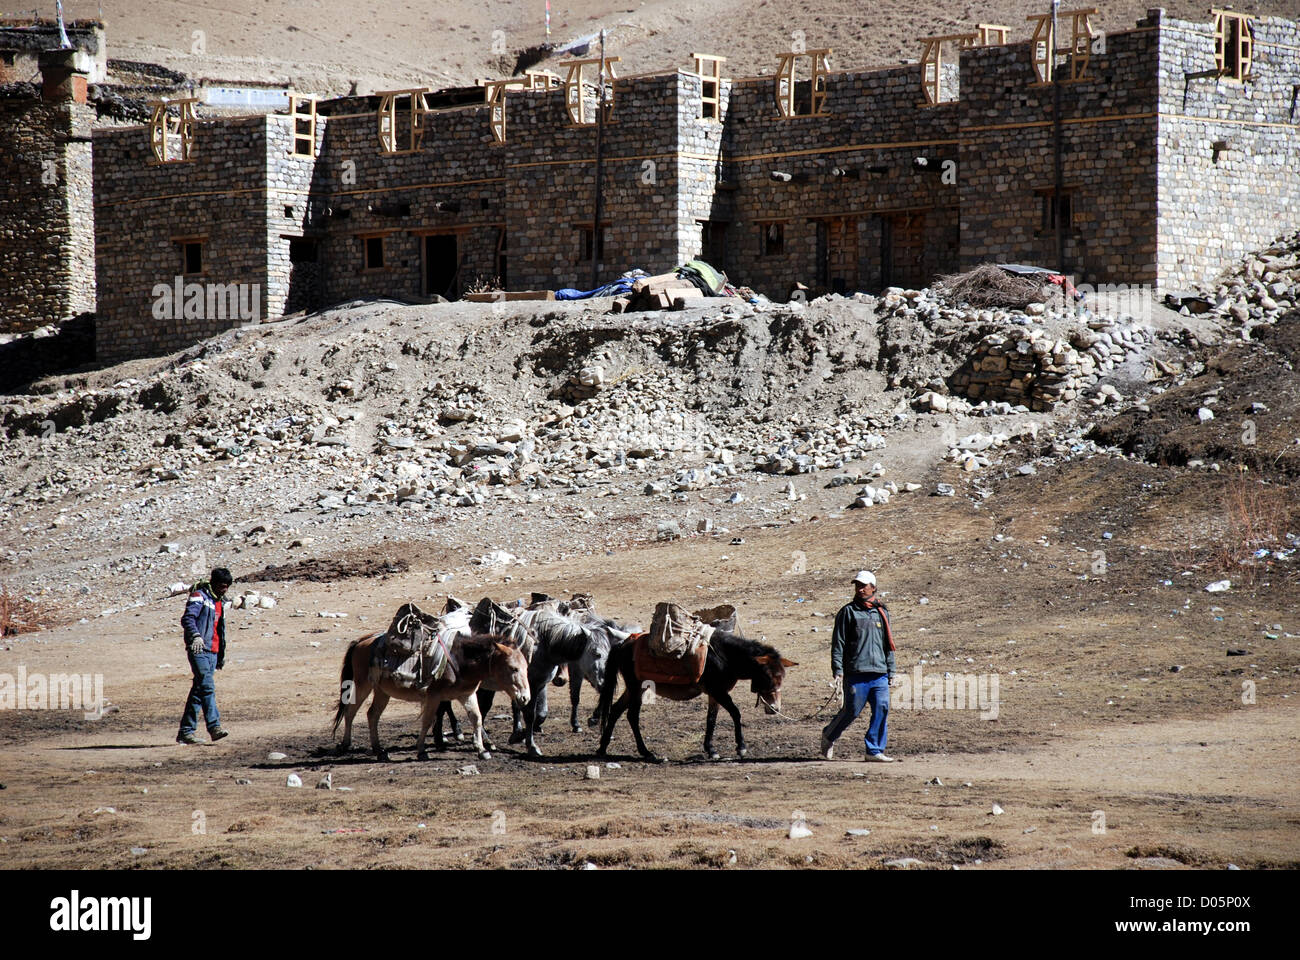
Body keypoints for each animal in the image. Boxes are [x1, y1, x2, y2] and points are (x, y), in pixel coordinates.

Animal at [332, 632, 530, 759]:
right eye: (513, 668)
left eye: (526, 667)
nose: (525, 698)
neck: (459, 661)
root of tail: (362, 641)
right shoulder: (434, 697)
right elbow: (427, 720)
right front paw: (421, 751)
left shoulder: (467, 694)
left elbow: (477, 718)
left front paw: (481, 750)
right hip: (362, 685)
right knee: (350, 711)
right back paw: (346, 744)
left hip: (382, 691)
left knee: (372, 714)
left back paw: (379, 750)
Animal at [595, 629, 795, 764]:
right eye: (768, 676)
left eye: (783, 677)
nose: (774, 708)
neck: (725, 656)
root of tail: (623, 644)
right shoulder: (718, 691)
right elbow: (735, 713)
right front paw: (741, 747)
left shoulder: (715, 694)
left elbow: (711, 719)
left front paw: (711, 750)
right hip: (637, 688)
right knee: (632, 715)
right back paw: (646, 752)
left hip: (633, 689)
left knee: (615, 710)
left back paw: (602, 748)